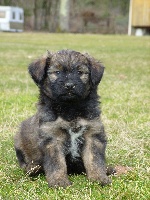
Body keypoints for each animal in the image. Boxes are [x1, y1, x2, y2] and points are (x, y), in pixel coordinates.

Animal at [14, 49, 112, 187]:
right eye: (57, 72)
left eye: (80, 72)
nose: (69, 85)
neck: (70, 108)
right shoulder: (53, 138)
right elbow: (57, 163)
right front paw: (59, 181)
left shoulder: (92, 134)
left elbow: (95, 160)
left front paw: (99, 177)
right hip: (19, 141)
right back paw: (33, 169)